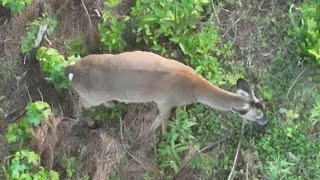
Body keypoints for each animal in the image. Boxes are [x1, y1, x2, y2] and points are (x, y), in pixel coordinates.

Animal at [65, 51, 268, 136]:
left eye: (263, 106)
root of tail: (72, 69)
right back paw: (90, 120)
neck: (194, 88)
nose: (266, 122)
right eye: (256, 115)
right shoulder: (165, 101)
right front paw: (163, 135)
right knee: (82, 102)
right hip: (94, 96)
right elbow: (164, 120)